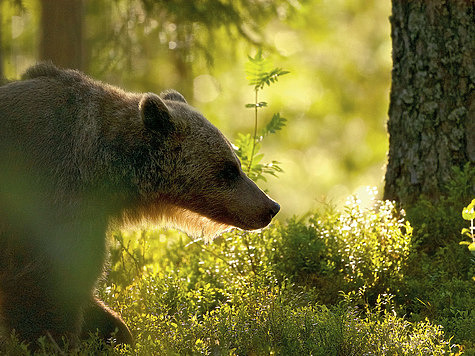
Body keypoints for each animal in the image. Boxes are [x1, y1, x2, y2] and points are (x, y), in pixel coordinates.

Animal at [0, 63, 278, 348]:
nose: (270, 207)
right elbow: (48, 284)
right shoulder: (51, 197)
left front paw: (113, 331)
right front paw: (54, 341)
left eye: (237, 164)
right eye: (229, 169)